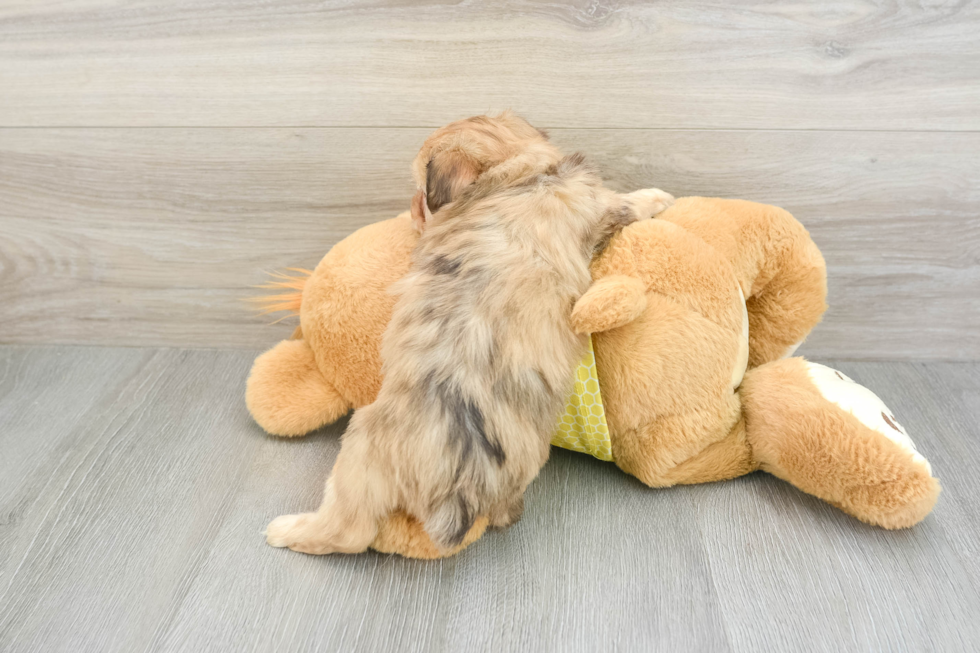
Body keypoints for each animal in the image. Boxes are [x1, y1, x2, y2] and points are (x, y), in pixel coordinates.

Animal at [264, 114, 668, 552]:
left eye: (421, 194)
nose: (410, 210)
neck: (521, 175)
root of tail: (462, 485)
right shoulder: (590, 206)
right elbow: (622, 202)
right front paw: (658, 197)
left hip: (360, 447)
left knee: (348, 531)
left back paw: (287, 530)